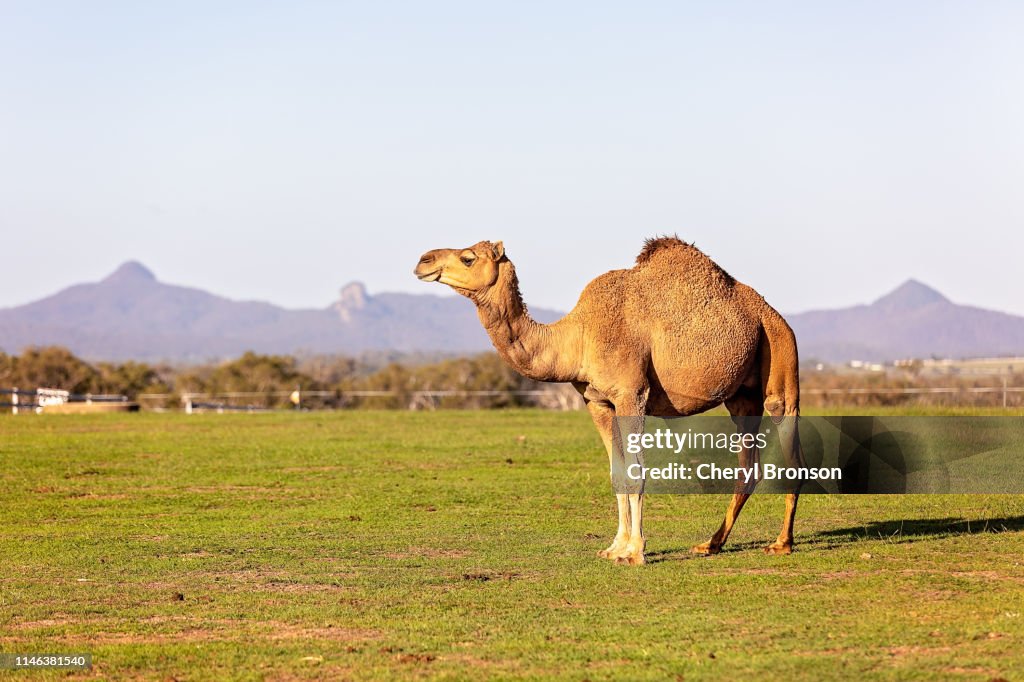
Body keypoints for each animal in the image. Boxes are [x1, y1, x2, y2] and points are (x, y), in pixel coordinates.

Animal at [414, 237, 804, 566]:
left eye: (468, 257)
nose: (423, 260)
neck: (578, 337)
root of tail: (771, 312)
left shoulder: (632, 393)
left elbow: (636, 470)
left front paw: (636, 552)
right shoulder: (597, 401)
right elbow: (617, 471)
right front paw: (615, 547)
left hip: (779, 353)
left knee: (787, 435)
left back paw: (781, 543)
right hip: (741, 396)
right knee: (748, 463)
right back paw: (711, 543)